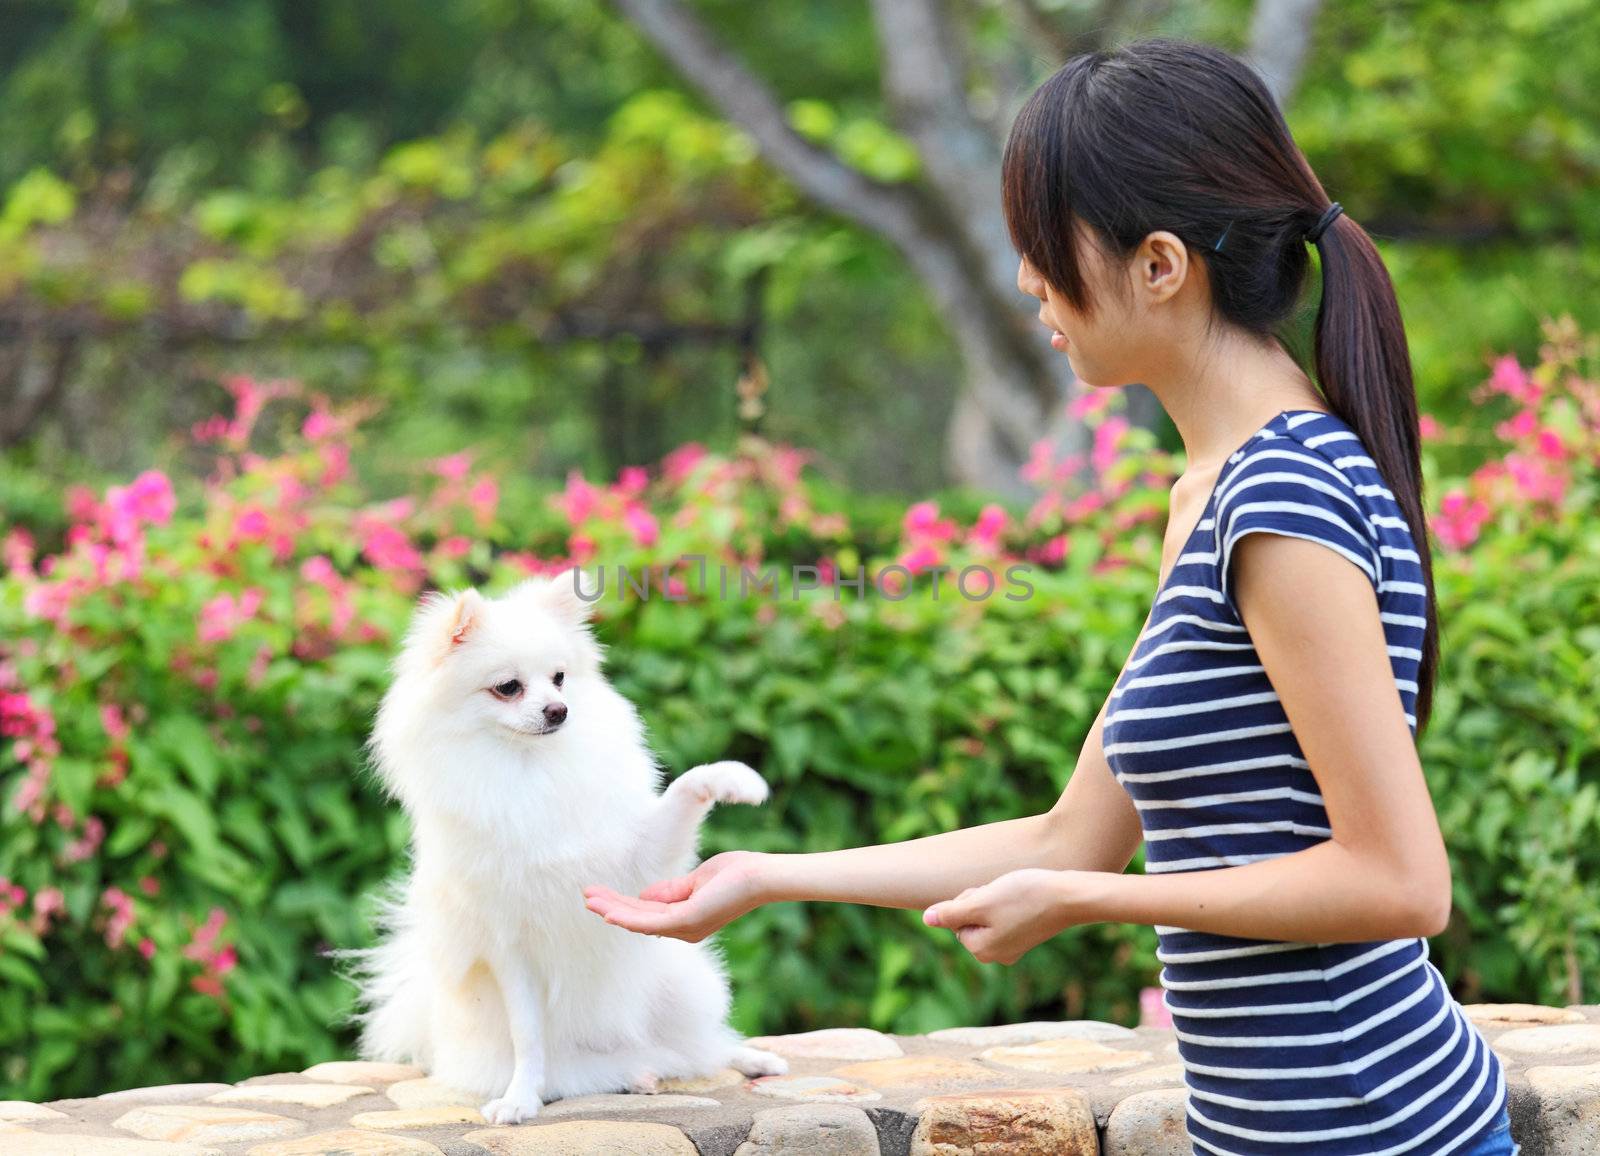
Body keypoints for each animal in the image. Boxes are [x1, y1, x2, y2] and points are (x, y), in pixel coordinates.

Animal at [344, 573, 787, 1120]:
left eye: (558, 678)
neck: (530, 768)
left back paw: (749, 1058)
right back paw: (634, 1075)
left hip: (679, 984)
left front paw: (732, 778)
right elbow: (528, 1036)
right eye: (508, 687)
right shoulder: (510, 948)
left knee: (701, 1045)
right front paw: (520, 1099)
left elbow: (683, 793)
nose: (559, 709)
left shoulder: (637, 861)